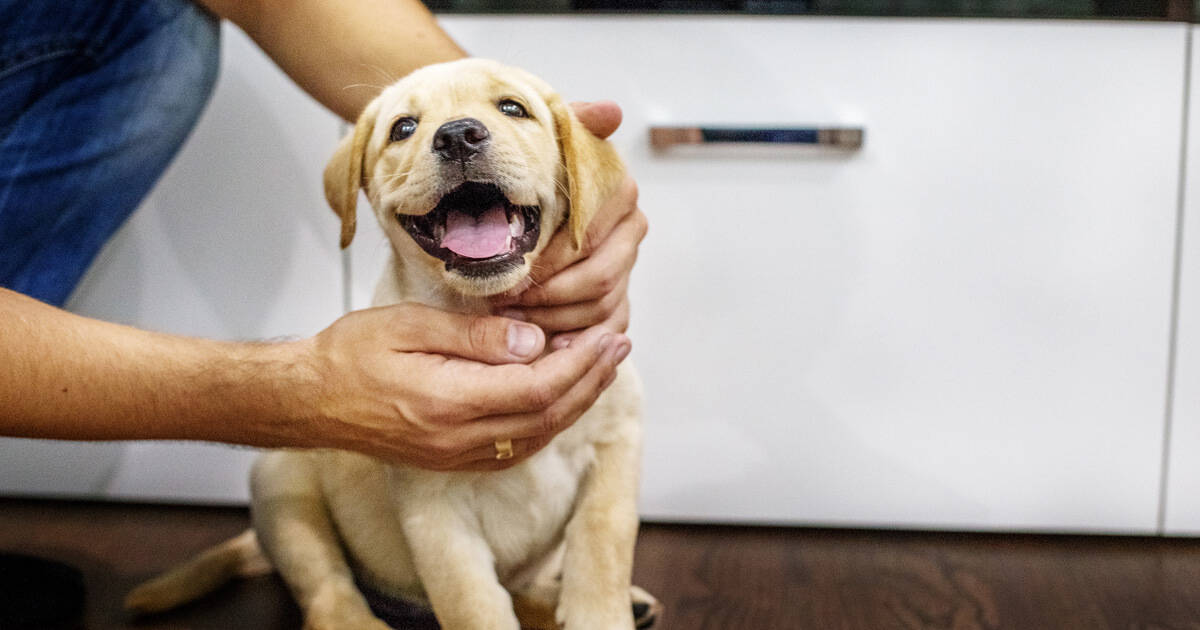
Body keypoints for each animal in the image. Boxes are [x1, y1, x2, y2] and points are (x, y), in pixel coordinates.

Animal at [126, 58, 657, 628]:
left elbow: (602, 548)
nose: (458, 135)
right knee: (328, 591)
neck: (486, 306)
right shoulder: (435, 502)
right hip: (283, 484)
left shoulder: (616, 447)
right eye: (404, 128)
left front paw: (604, 609)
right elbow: (472, 603)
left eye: (513, 108)